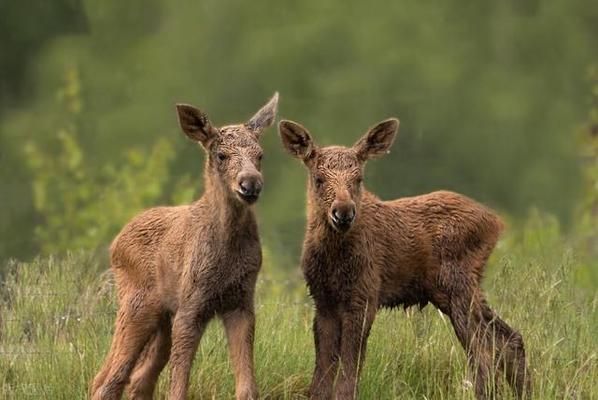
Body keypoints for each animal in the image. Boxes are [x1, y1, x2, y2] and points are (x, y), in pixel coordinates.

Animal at [90, 92, 280, 398]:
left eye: (260, 155)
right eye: (221, 155)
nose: (250, 184)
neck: (227, 251)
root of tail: (115, 244)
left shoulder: (241, 302)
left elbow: (247, 387)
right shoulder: (191, 305)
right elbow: (178, 386)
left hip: (161, 318)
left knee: (135, 379)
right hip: (137, 305)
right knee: (109, 380)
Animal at [278, 117, 532, 398]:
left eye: (359, 178)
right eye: (319, 178)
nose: (343, 212)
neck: (332, 258)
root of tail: (496, 222)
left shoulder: (364, 297)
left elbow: (349, 372)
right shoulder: (323, 300)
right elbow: (321, 375)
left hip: (458, 288)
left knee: (483, 353)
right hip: (461, 291)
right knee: (508, 339)